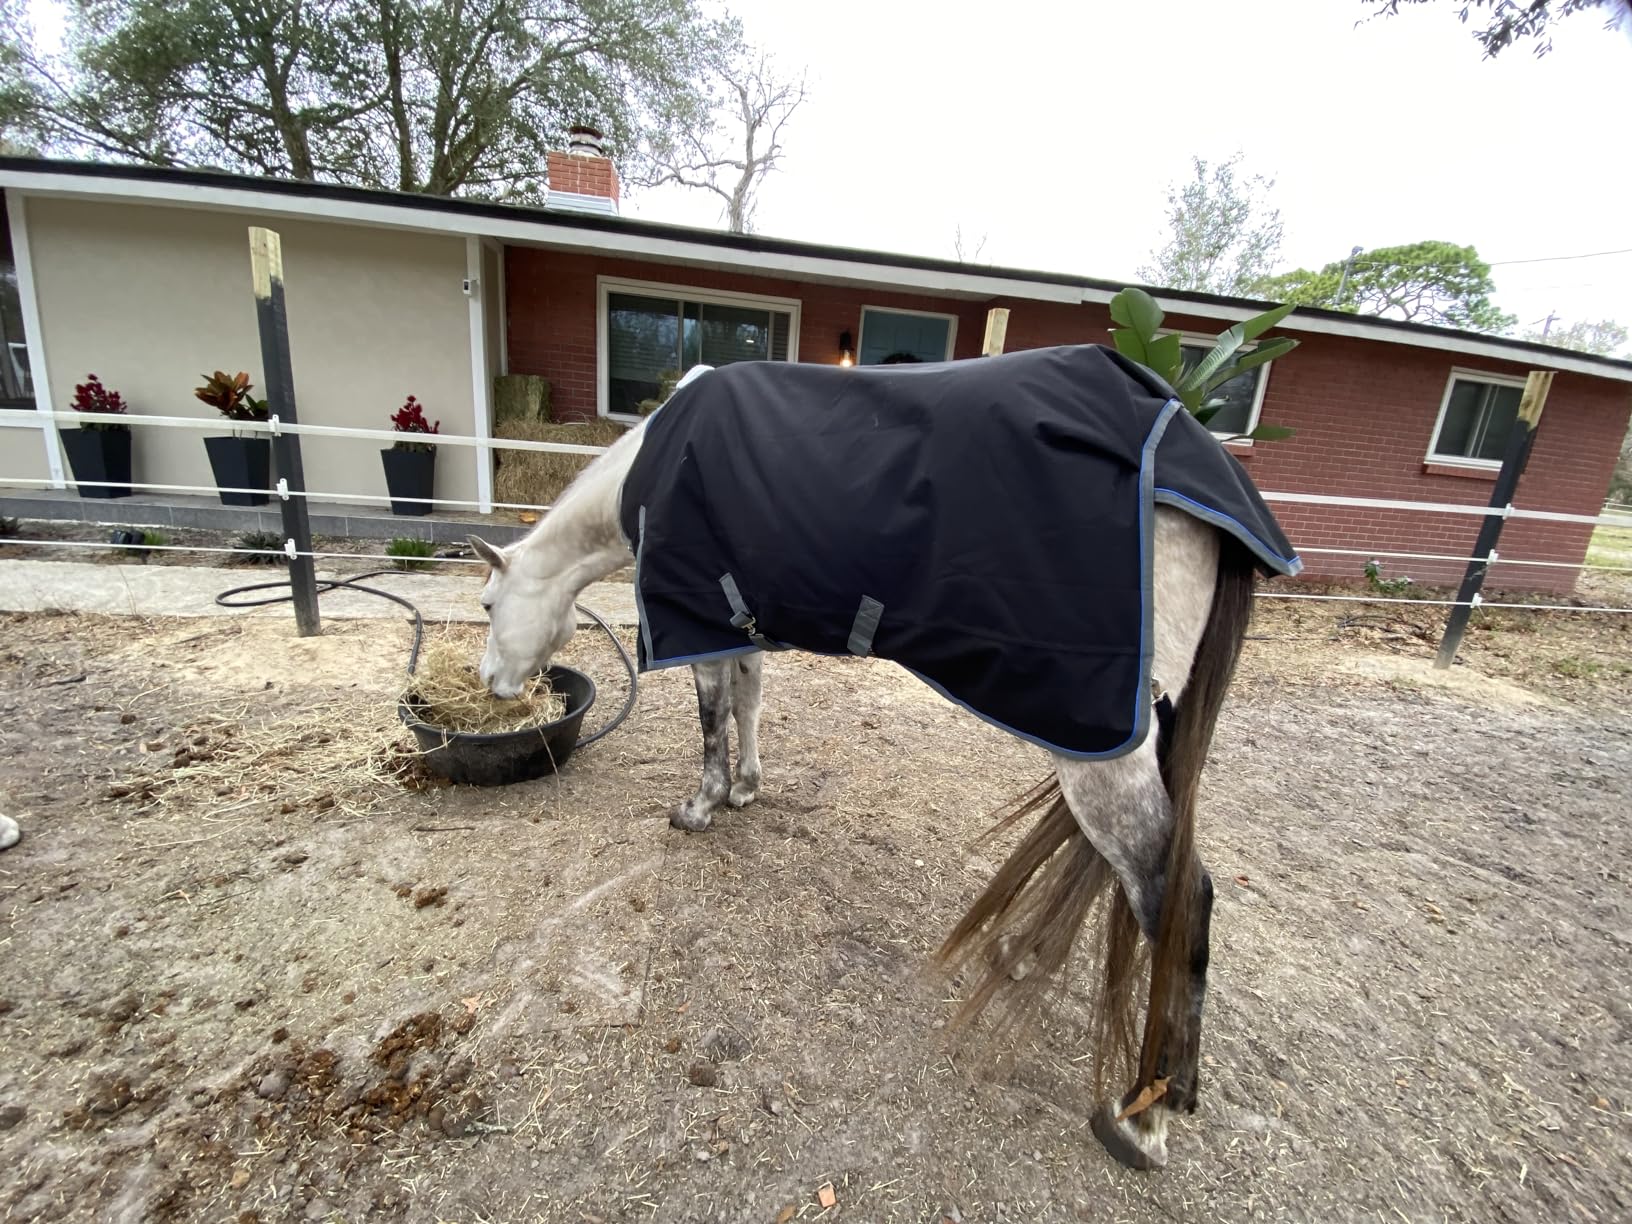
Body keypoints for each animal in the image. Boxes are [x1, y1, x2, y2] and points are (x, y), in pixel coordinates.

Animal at [469, 347, 1296, 1171]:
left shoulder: (700, 617)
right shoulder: (741, 623)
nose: (491, 688)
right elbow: (747, 702)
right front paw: (745, 790)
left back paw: (1146, 1113)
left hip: (1100, 746)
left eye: (484, 606)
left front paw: (700, 806)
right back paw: (1027, 959)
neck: (655, 461)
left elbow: (711, 717)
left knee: (1175, 893)